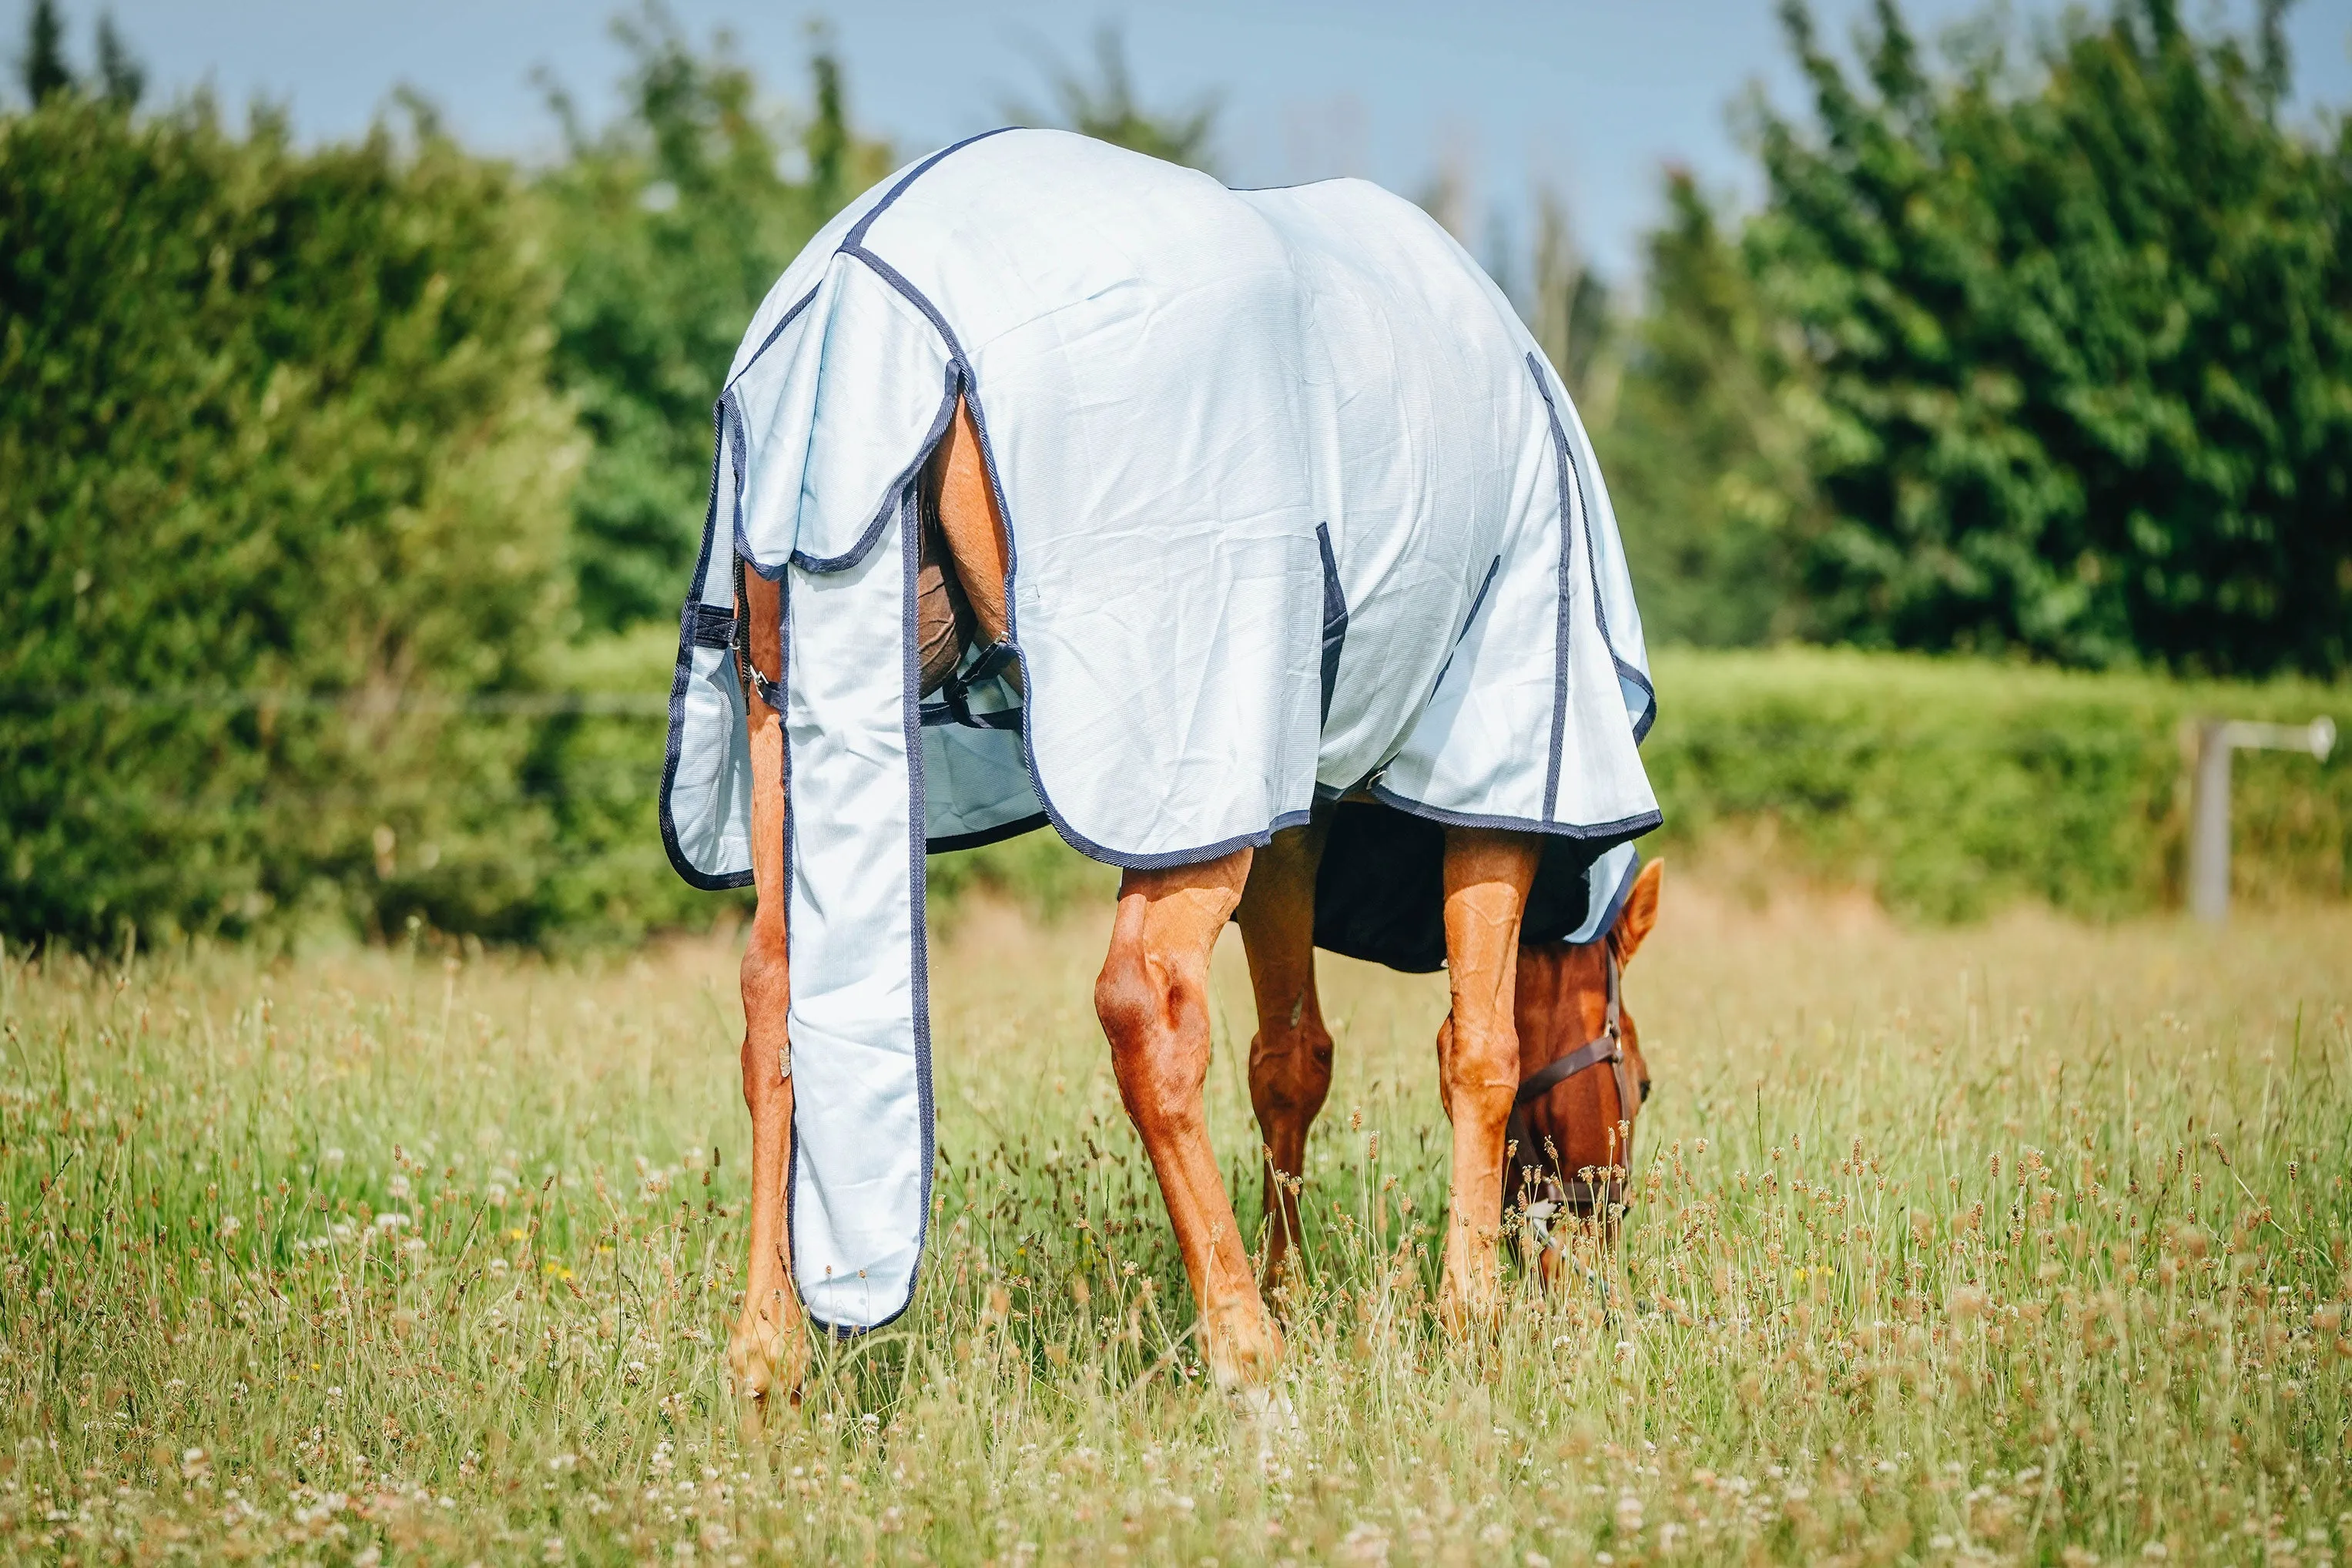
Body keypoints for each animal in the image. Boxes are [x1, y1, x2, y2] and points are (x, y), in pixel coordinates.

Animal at [654, 129, 1665, 1419]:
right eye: (1637, 1084)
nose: (1593, 1250)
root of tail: (864, 300)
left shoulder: (1289, 804)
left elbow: (1291, 1060)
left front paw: (1296, 1285)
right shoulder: (1497, 775)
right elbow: (1478, 1054)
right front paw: (1466, 1316)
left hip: (803, 725)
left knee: (776, 993)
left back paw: (766, 1353)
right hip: (1184, 732)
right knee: (1145, 1006)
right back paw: (1244, 1353)